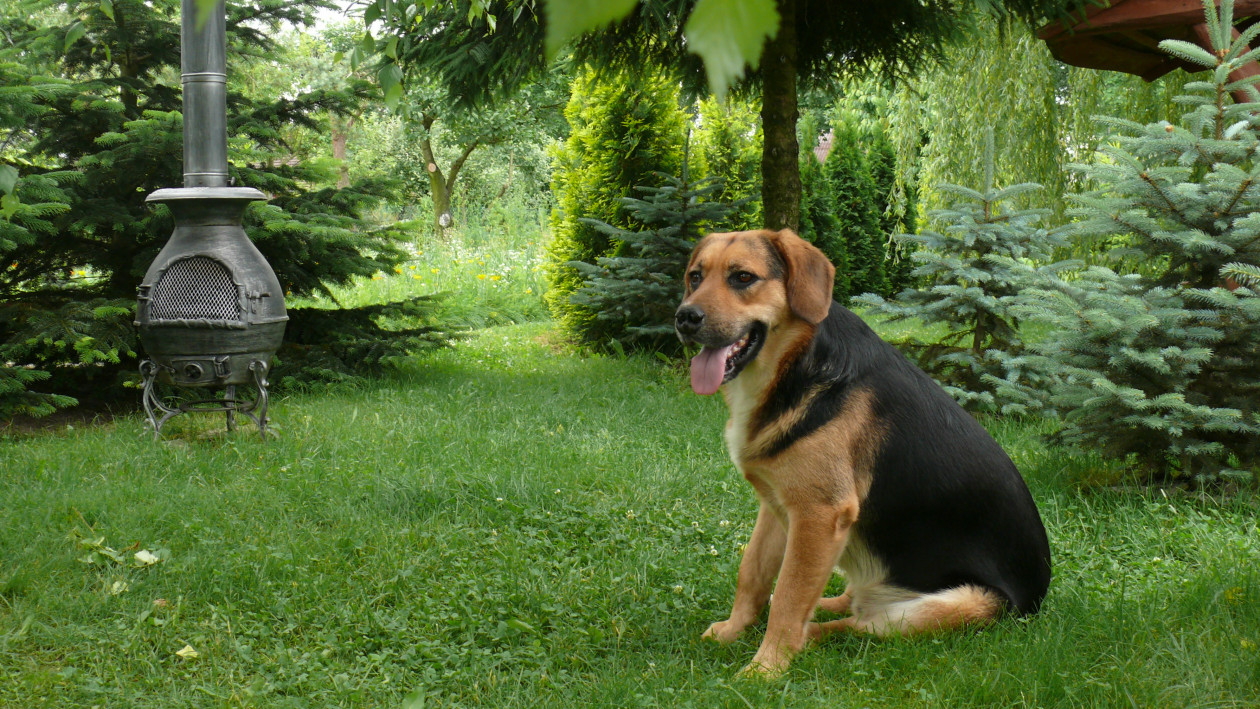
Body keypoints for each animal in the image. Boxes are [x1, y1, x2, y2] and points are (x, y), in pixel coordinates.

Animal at [675, 227, 1048, 674]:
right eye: (695, 277)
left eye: (743, 277)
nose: (684, 318)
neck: (796, 364)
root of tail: (1038, 600)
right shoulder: (778, 505)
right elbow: (753, 574)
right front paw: (735, 630)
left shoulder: (819, 515)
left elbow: (788, 599)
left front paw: (766, 669)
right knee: (846, 603)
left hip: (959, 603)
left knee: (857, 626)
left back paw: (809, 636)